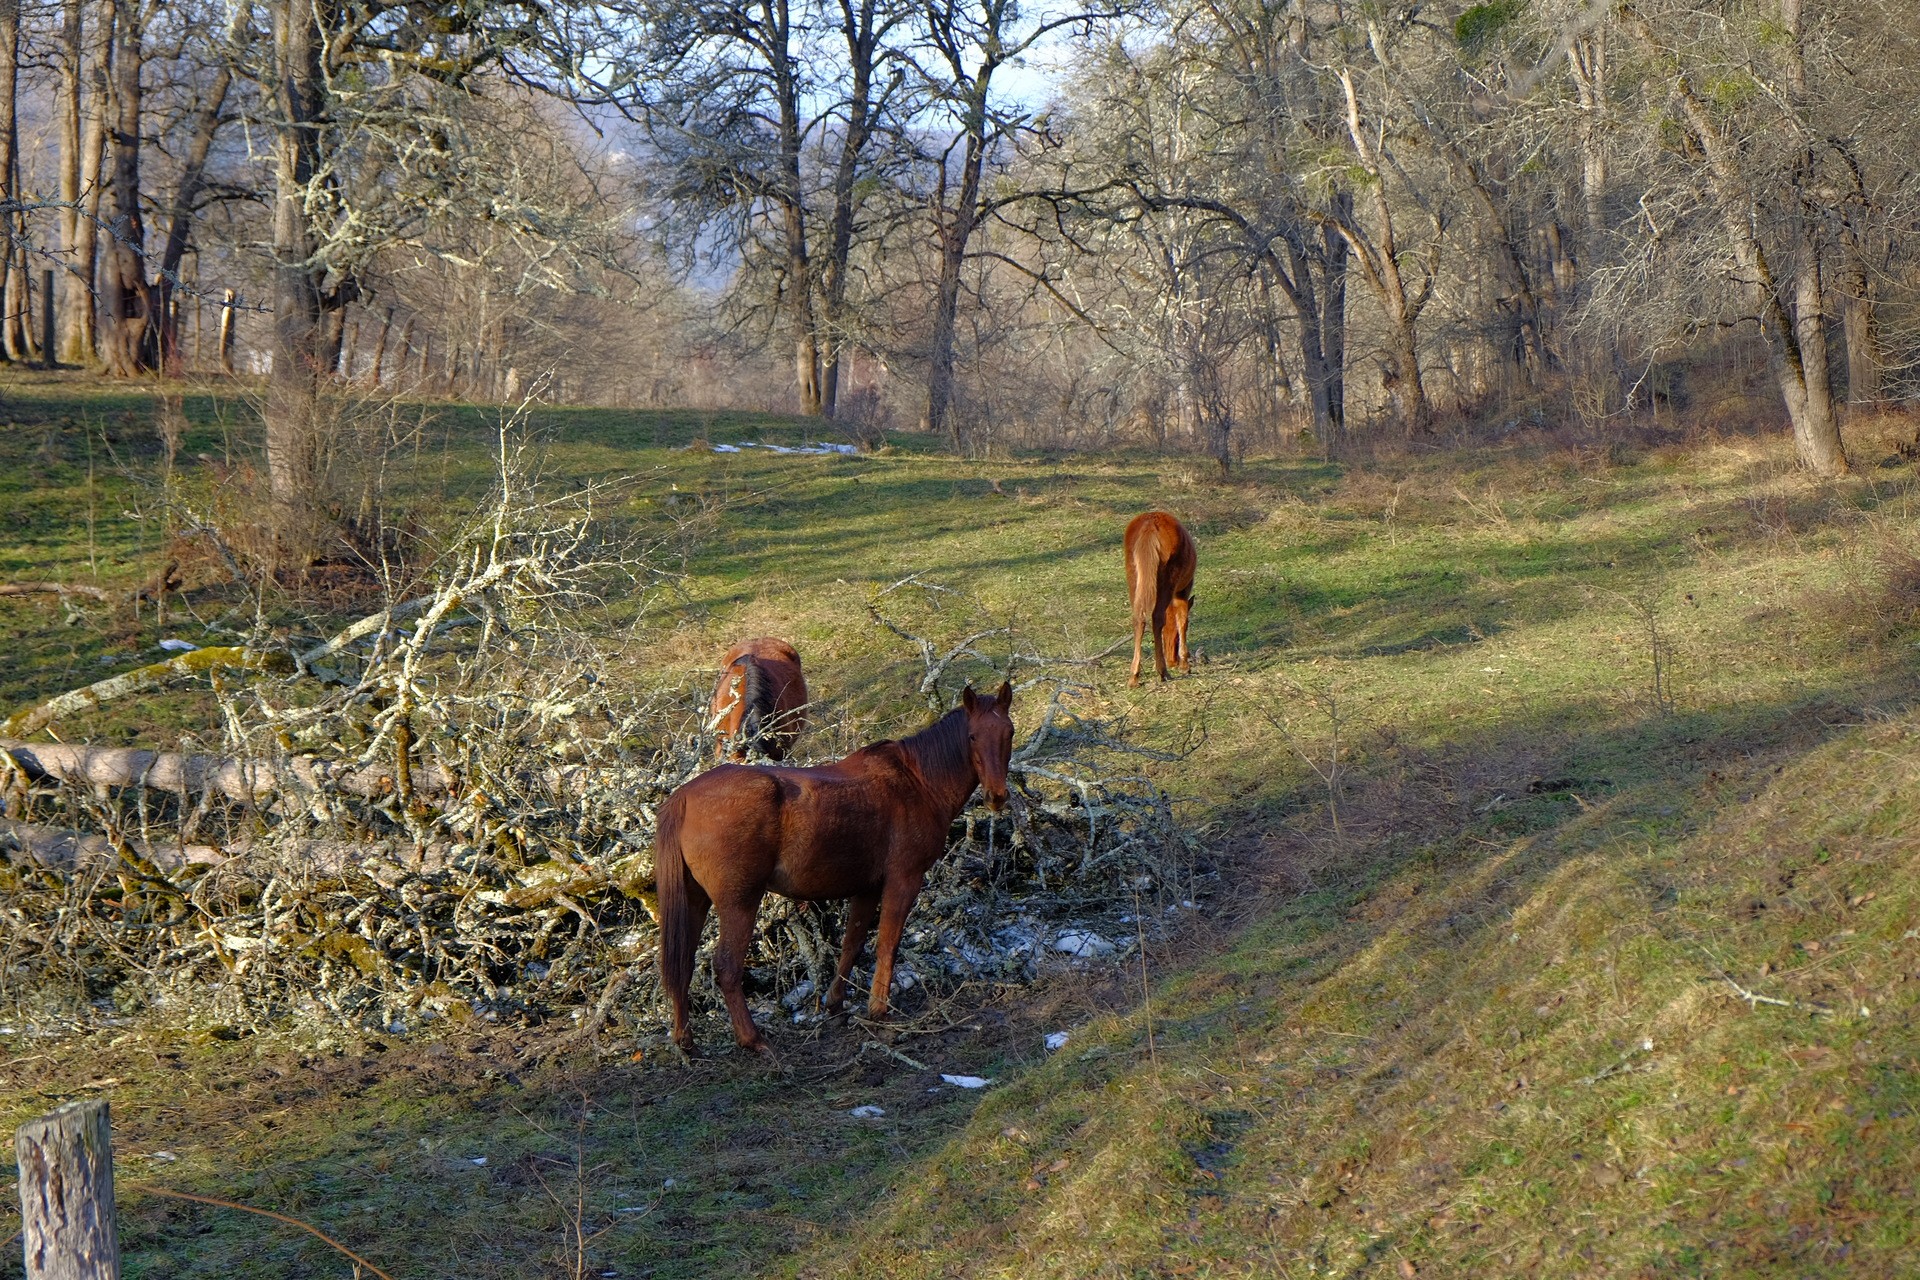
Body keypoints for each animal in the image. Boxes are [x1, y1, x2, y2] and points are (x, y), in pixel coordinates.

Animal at [656, 687, 1021, 1059]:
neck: (916, 781)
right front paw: (878, 1009)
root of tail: (683, 797)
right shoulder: (904, 879)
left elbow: (852, 944)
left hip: (695, 901)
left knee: (682, 964)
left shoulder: (868, 888)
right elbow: (887, 943)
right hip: (739, 903)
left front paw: (835, 1004)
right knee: (727, 967)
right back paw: (752, 1038)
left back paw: (685, 1040)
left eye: (1008, 733)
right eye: (972, 736)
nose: (996, 796)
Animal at [1121, 514, 1190, 690]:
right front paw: (1185, 664)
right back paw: (1163, 671)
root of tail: (1150, 526)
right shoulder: (1183, 591)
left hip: (1134, 577)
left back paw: (1134, 676)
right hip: (1167, 581)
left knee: (1139, 618)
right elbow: (1182, 621)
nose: (1172, 660)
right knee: (1157, 617)